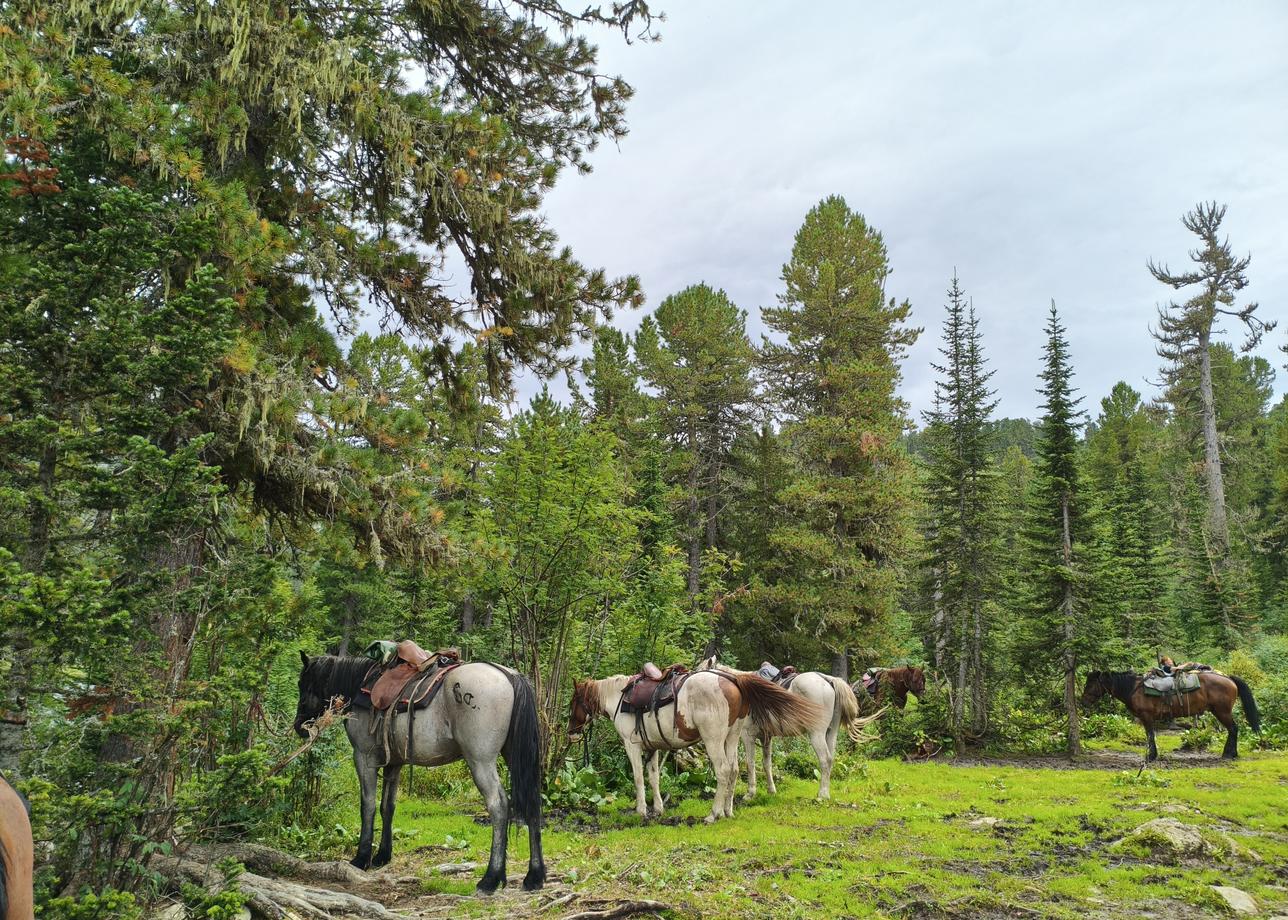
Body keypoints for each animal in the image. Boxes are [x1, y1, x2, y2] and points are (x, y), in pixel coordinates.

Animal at [294, 652, 545, 894]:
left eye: (303, 684)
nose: (299, 727)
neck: (359, 686)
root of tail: (509, 676)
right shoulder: (393, 764)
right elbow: (387, 807)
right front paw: (382, 855)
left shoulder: (364, 758)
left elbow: (368, 806)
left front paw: (361, 858)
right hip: (515, 757)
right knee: (532, 804)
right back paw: (534, 877)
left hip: (480, 761)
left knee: (499, 806)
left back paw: (490, 879)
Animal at [567, 668, 822, 823]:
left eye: (573, 702)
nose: (571, 732)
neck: (620, 698)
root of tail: (733, 680)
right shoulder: (653, 748)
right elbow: (654, 778)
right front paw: (658, 808)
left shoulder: (633, 746)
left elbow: (639, 778)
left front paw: (641, 810)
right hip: (732, 738)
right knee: (734, 770)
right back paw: (728, 811)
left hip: (713, 740)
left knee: (723, 771)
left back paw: (713, 814)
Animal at [697, 656, 882, 800]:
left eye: (699, 671)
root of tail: (826, 679)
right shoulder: (766, 737)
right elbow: (767, 763)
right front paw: (771, 790)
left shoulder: (747, 736)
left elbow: (750, 763)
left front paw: (750, 793)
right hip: (831, 733)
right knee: (830, 759)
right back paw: (826, 793)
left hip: (816, 734)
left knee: (825, 759)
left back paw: (822, 795)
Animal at [1081, 670, 1261, 762]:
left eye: (1090, 684)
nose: (1083, 701)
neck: (1134, 688)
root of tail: (1229, 678)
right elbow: (1150, 736)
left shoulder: (1147, 717)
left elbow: (1150, 736)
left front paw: (1151, 756)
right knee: (1232, 730)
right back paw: (1230, 753)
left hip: (1222, 711)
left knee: (1233, 729)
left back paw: (1229, 754)